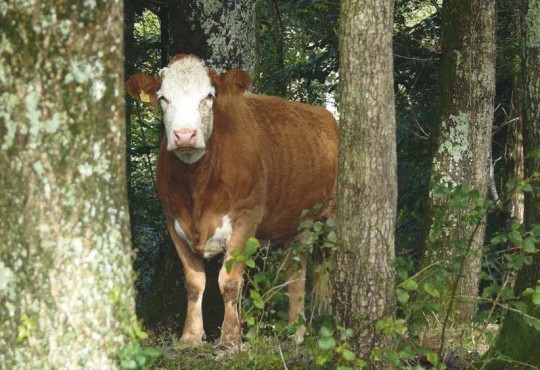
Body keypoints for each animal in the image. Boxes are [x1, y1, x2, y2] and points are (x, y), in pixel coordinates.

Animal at [126, 55, 338, 344]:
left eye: (209, 96)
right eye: (162, 98)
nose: (184, 135)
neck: (197, 187)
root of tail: (326, 115)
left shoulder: (246, 218)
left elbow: (228, 281)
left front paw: (230, 337)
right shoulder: (173, 220)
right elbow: (194, 283)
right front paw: (190, 337)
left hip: (332, 216)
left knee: (324, 264)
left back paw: (319, 316)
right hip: (296, 223)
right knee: (296, 271)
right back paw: (295, 330)